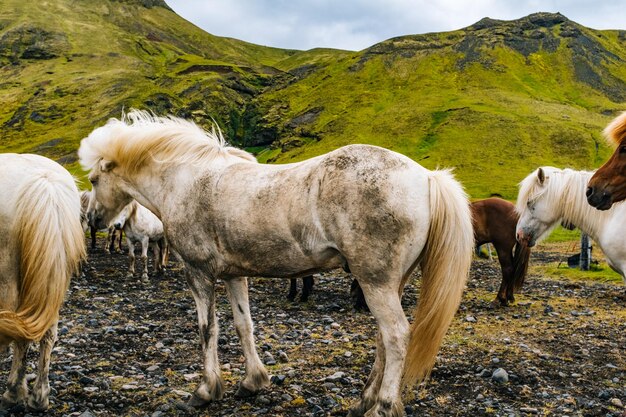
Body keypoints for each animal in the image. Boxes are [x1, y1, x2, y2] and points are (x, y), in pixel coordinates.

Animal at [0, 153, 84, 410]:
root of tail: (45, 181)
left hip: (8, 279)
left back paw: (14, 391)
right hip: (55, 283)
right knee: (45, 333)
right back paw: (39, 395)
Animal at [77, 110, 468, 416]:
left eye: (94, 179)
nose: (94, 219)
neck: (185, 179)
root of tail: (426, 177)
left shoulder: (199, 274)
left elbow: (207, 330)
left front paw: (205, 391)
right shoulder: (234, 276)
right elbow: (243, 325)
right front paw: (253, 381)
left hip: (375, 282)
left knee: (397, 335)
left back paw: (383, 406)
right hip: (388, 283)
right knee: (383, 339)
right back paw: (364, 401)